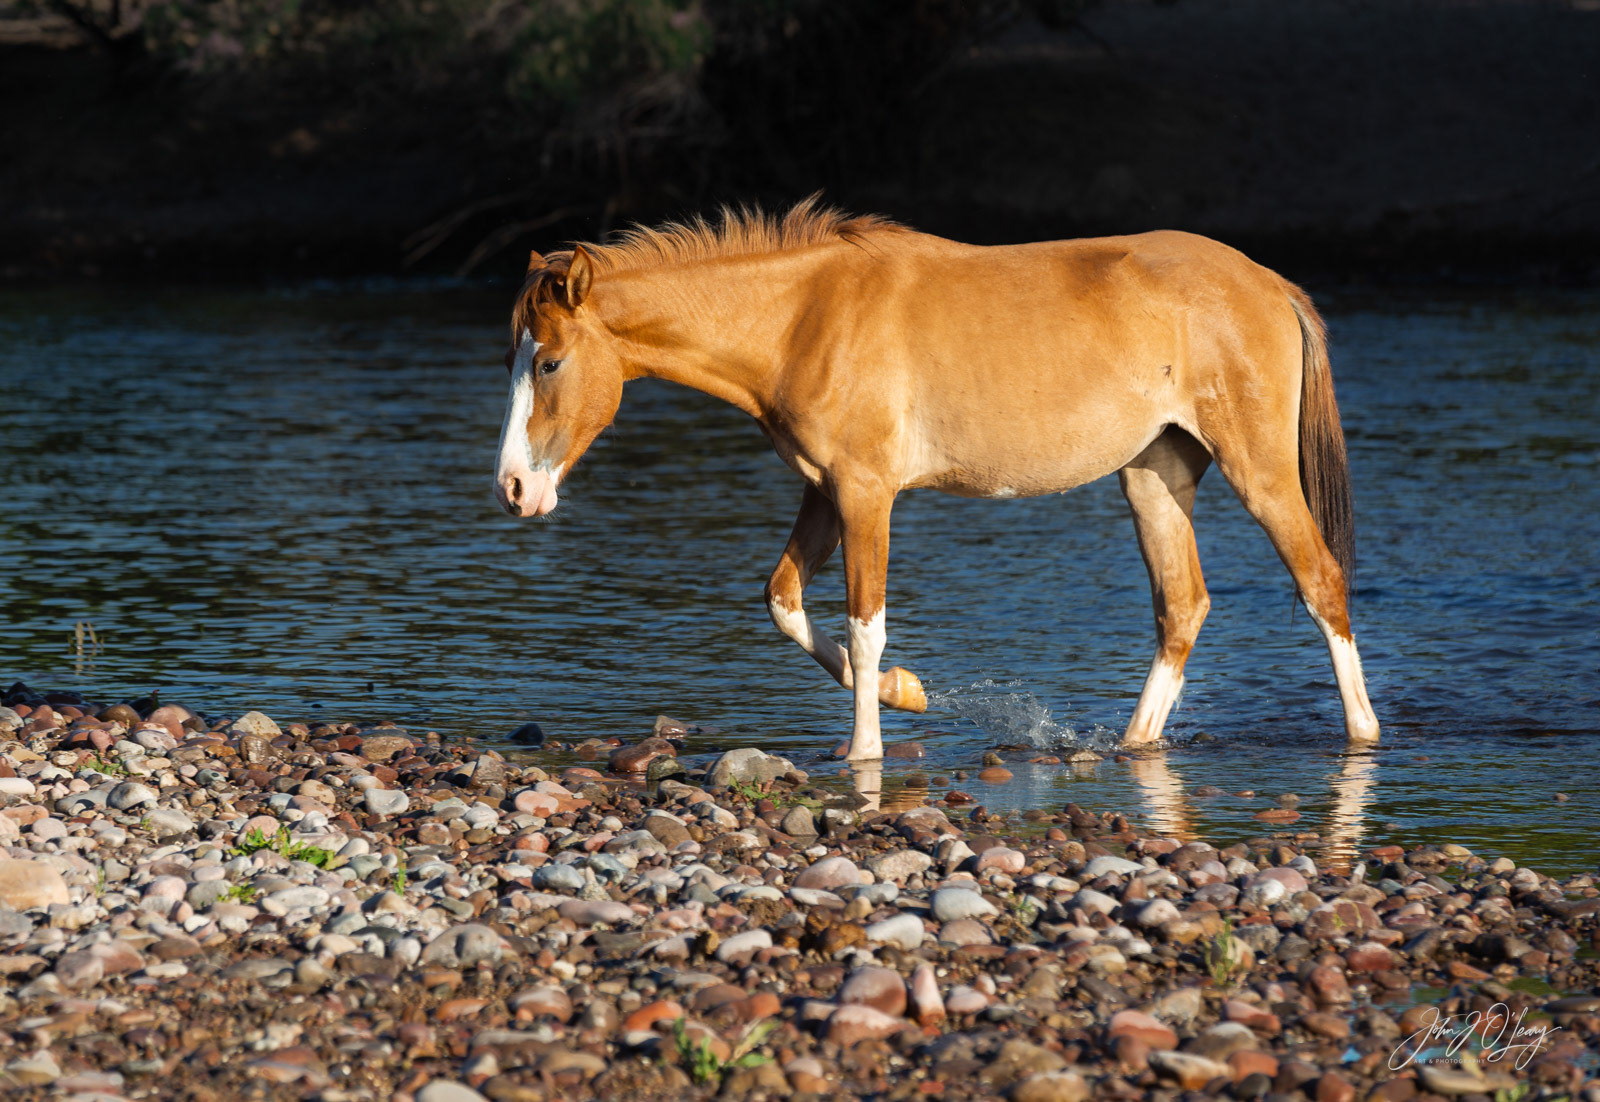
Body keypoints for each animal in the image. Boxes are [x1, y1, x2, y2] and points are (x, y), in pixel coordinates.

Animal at [493, 198, 1380, 761]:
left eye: (550, 361)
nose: (513, 489)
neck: (803, 317)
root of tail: (1269, 283)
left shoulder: (866, 494)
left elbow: (863, 622)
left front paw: (865, 749)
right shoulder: (824, 491)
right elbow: (785, 602)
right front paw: (904, 693)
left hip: (1258, 470)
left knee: (1320, 583)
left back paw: (1364, 736)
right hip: (1155, 475)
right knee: (1183, 608)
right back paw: (1134, 743)